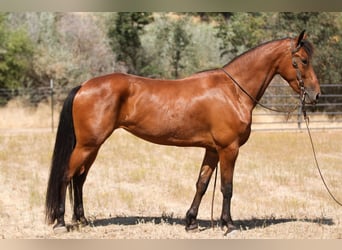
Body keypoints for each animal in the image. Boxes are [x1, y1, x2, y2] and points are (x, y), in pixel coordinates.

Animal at [45, 30, 320, 233]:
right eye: (304, 60)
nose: (316, 95)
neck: (233, 91)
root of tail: (83, 86)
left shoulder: (212, 150)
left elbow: (202, 184)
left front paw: (191, 221)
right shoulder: (228, 149)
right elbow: (227, 187)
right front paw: (228, 224)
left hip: (92, 146)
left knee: (79, 179)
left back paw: (81, 220)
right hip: (87, 145)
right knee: (66, 175)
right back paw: (60, 222)